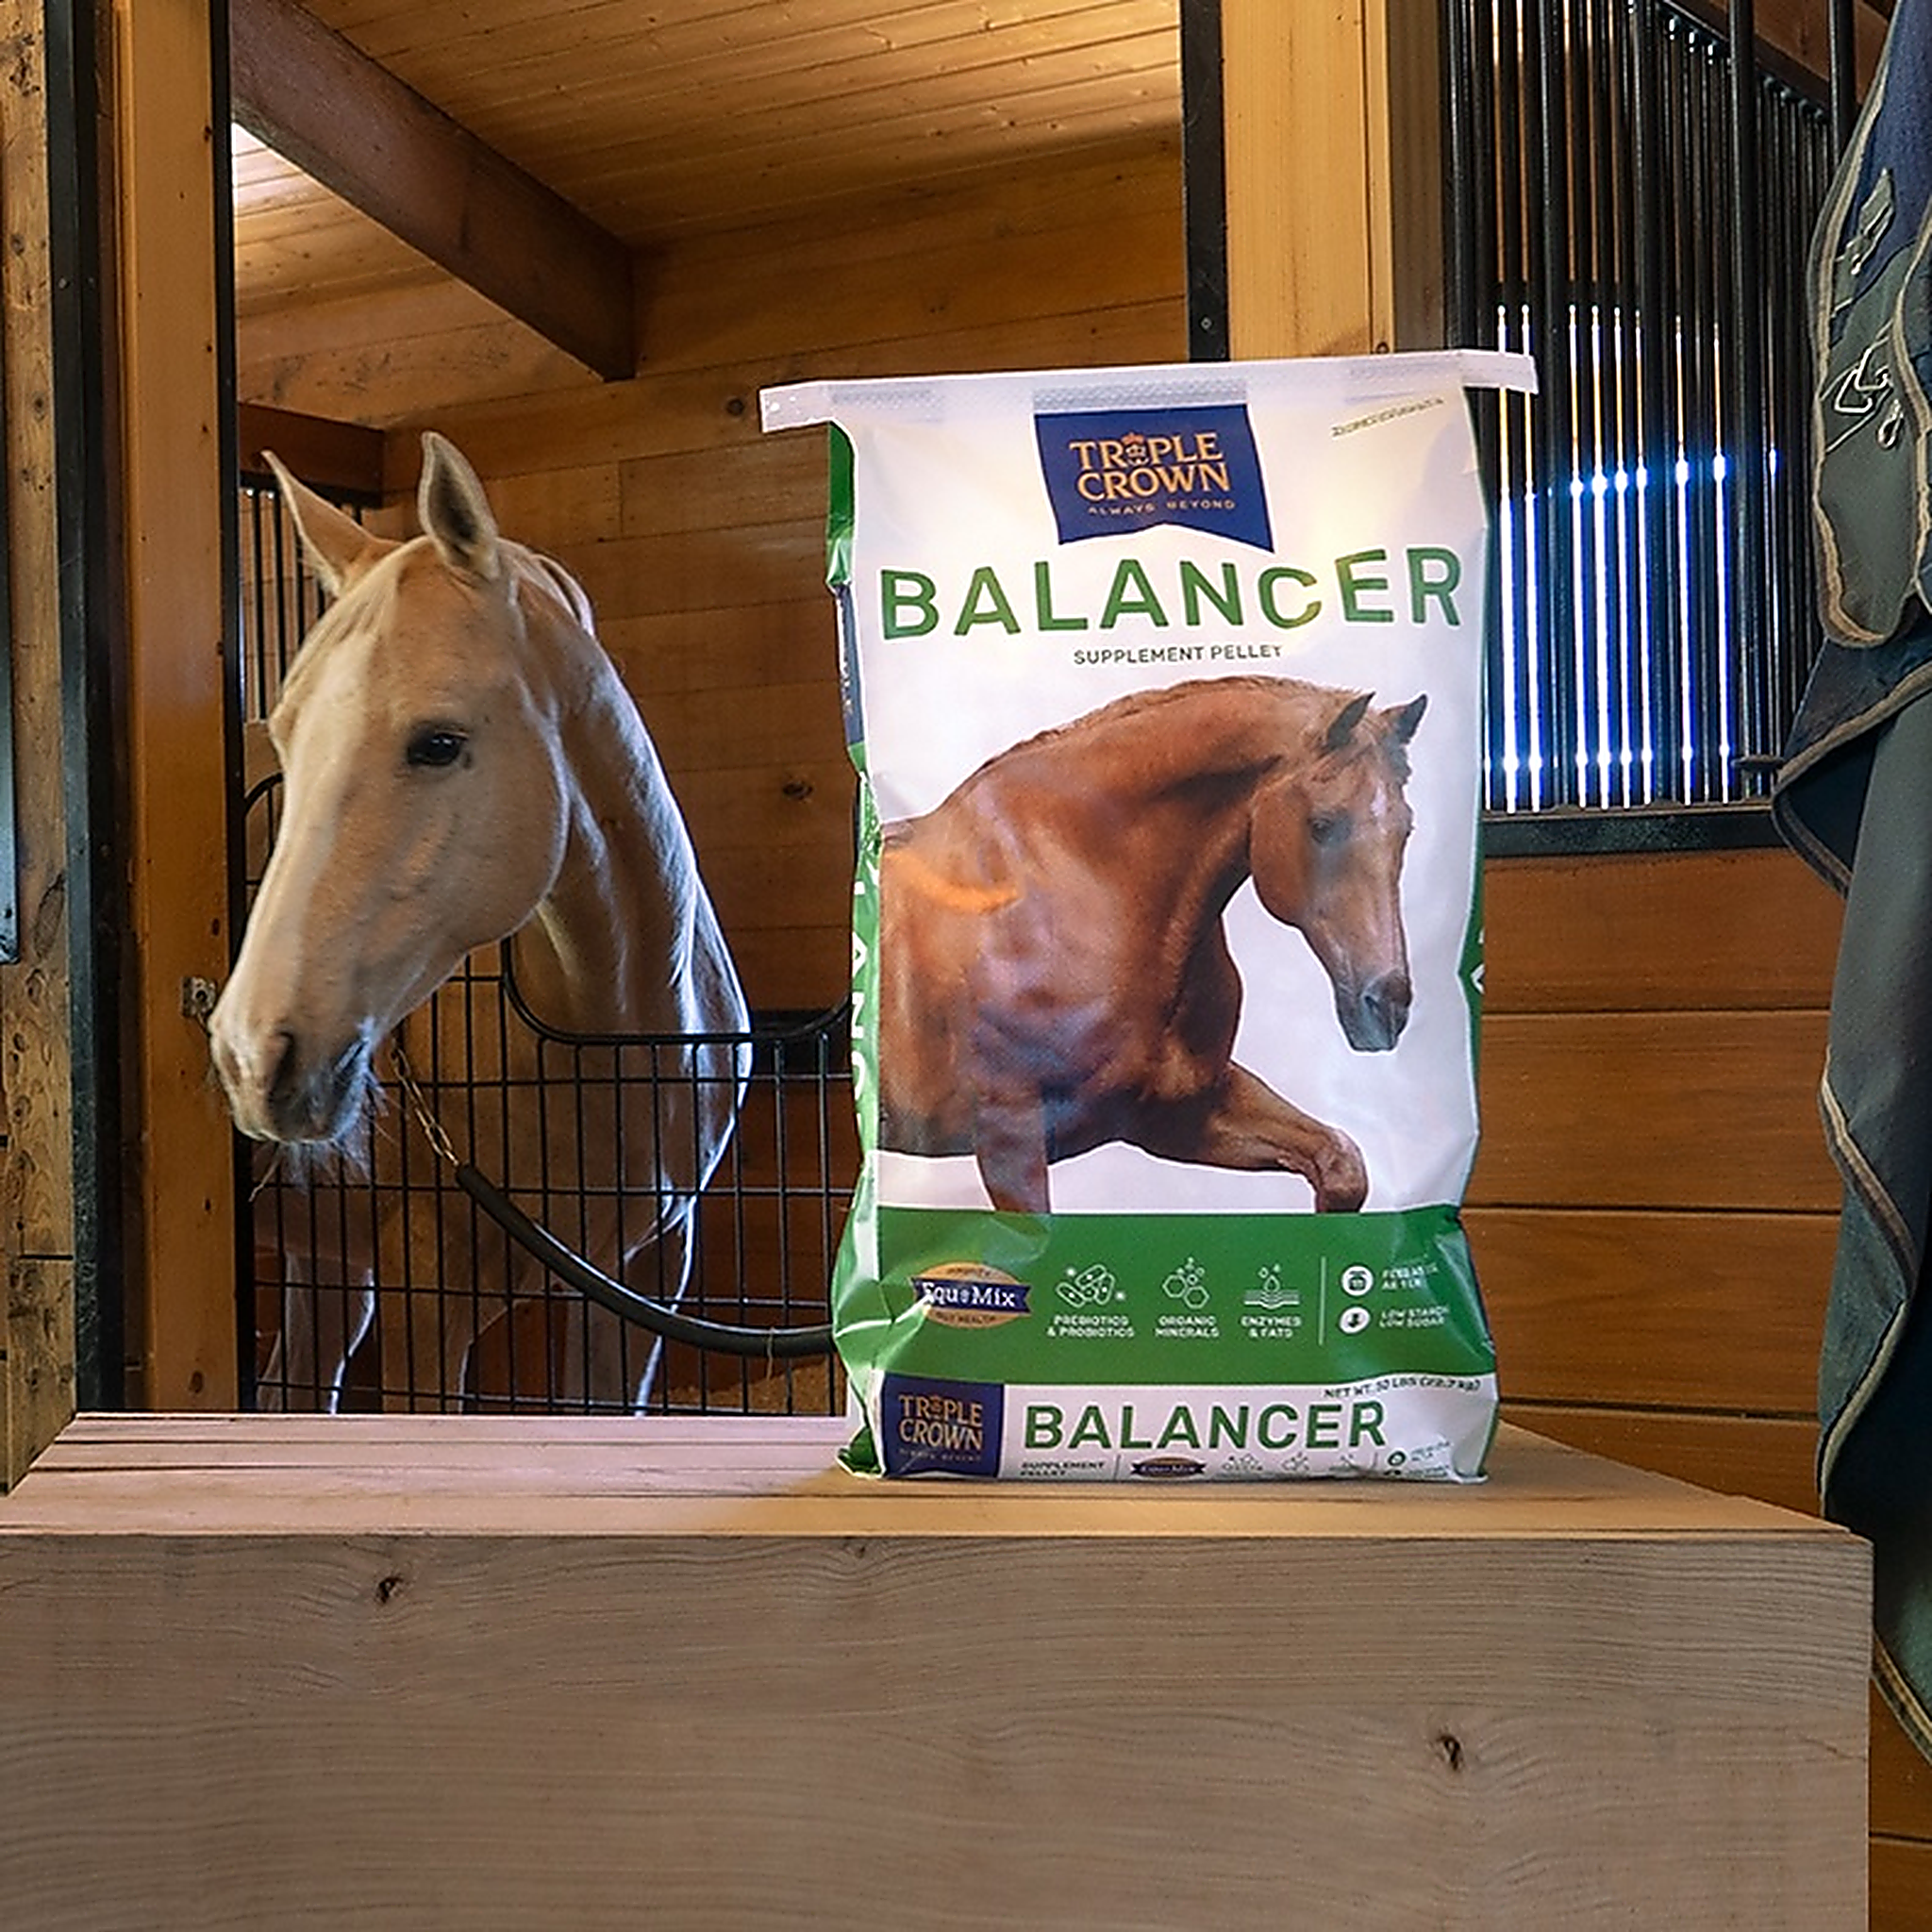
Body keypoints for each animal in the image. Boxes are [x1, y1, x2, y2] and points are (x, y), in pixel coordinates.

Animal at [877, 674, 1426, 1216]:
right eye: (1322, 825)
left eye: (1406, 828)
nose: (1386, 1005)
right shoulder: (1009, 1139)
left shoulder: (1178, 1113)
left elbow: (1342, 1167)